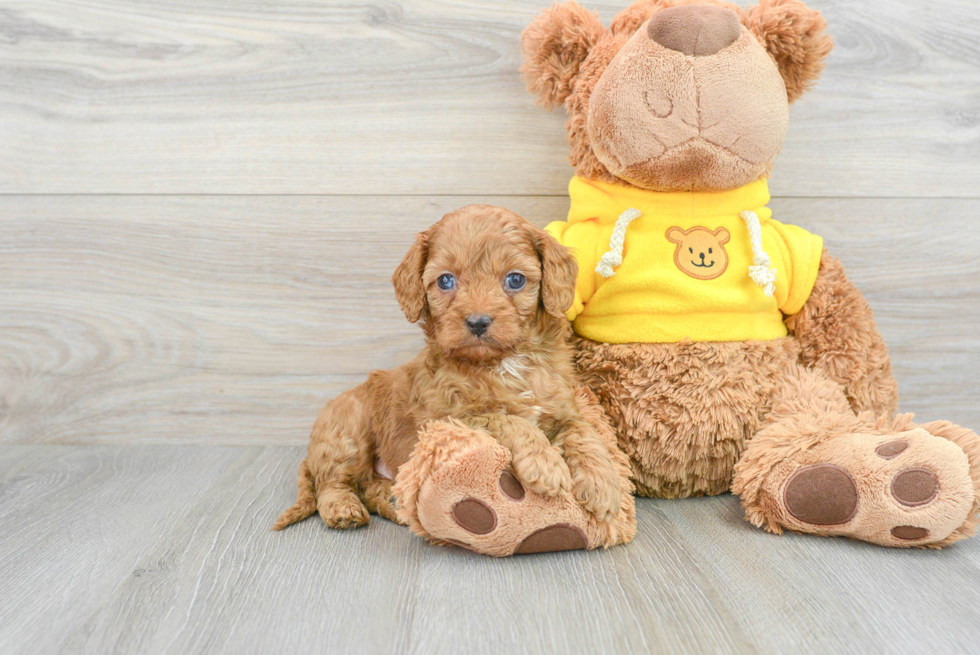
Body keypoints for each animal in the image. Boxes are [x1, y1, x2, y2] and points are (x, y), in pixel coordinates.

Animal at [268, 205, 620, 532]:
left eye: (516, 279)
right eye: (446, 280)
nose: (477, 322)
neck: (503, 363)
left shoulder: (563, 409)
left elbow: (584, 434)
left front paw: (603, 484)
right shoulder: (447, 420)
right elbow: (507, 419)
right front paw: (546, 464)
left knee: (367, 484)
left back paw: (393, 502)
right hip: (348, 432)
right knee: (332, 481)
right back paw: (343, 508)